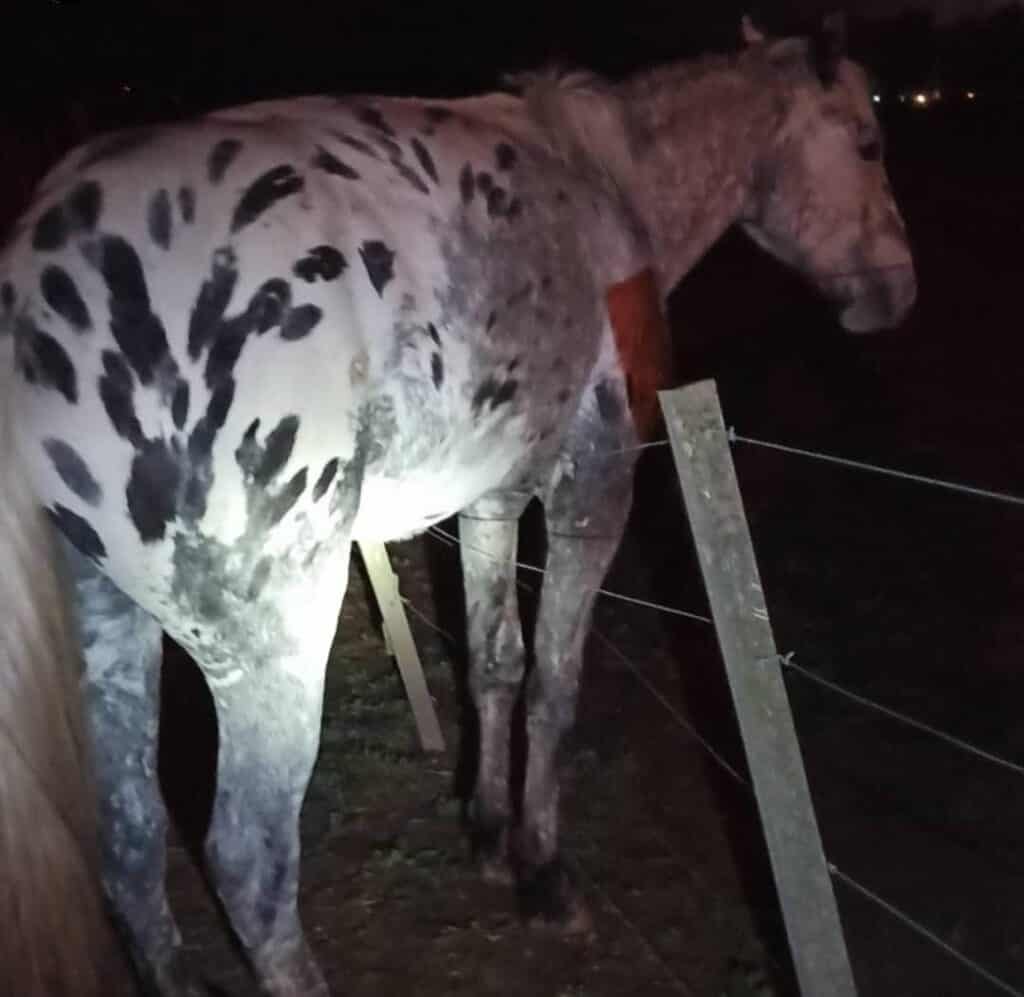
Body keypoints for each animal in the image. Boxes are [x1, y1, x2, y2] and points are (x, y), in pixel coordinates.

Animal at [0, 13, 913, 997]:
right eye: (868, 140)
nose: (896, 290)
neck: (597, 185)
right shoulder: (594, 486)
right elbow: (554, 681)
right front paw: (542, 869)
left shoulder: (492, 502)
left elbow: (494, 661)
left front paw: (486, 824)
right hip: (275, 644)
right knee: (248, 866)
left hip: (109, 623)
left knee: (128, 843)